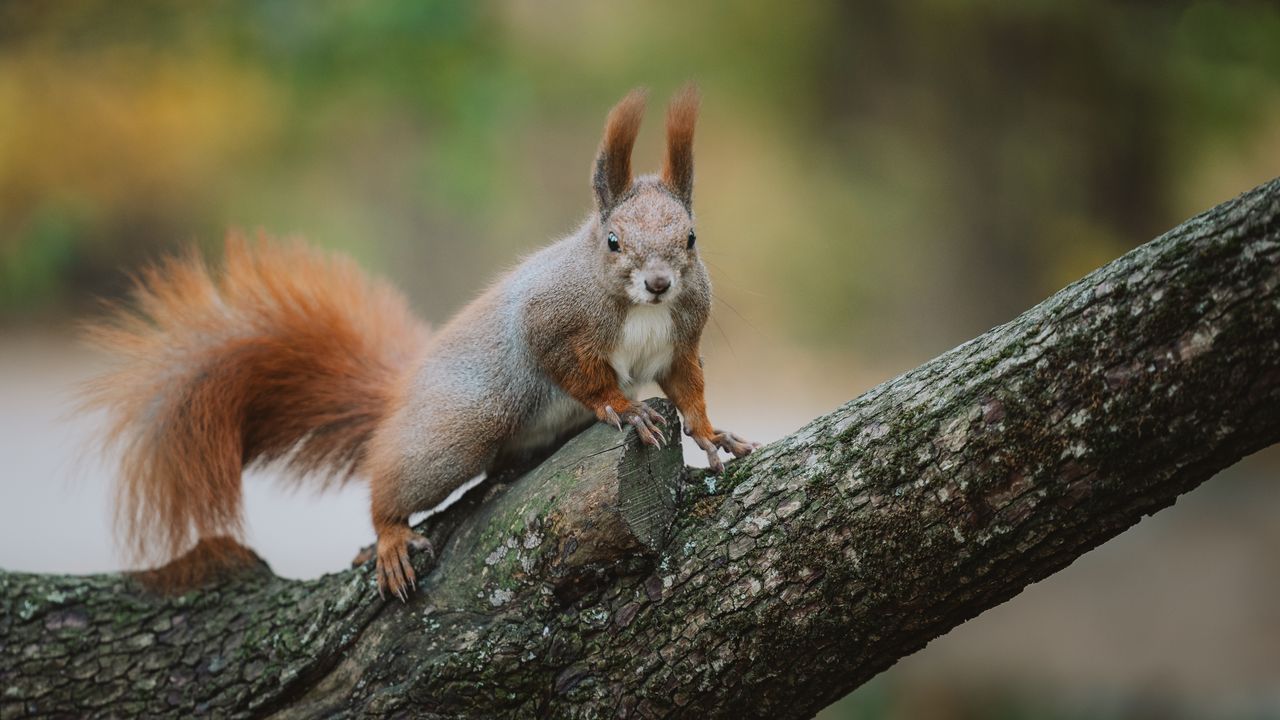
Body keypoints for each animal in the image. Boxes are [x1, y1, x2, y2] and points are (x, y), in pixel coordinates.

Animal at [82, 84, 758, 600]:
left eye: (691, 238)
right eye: (613, 241)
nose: (659, 282)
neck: (642, 308)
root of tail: (400, 399)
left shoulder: (681, 341)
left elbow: (687, 386)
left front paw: (710, 433)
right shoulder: (548, 322)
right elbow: (577, 373)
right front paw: (623, 407)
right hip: (462, 427)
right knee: (393, 480)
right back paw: (388, 536)